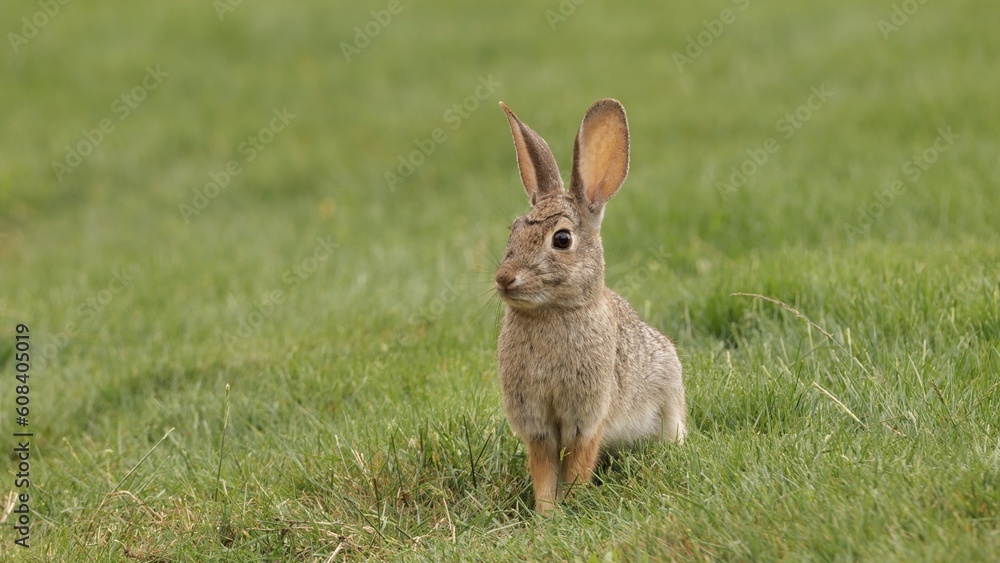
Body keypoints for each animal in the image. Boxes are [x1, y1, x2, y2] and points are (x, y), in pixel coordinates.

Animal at [494, 98, 686, 514]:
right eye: (513, 231)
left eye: (562, 239)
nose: (504, 278)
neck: (552, 313)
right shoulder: (536, 424)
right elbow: (543, 470)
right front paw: (546, 514)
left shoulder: (588, 415)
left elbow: (579, 462)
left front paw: (572, 504)